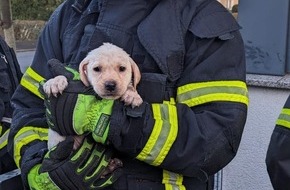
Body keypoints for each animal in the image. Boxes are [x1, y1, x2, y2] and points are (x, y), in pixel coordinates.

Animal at [42, 43, 143, 177]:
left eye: (122, 68)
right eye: (97, 69)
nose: (110, 85)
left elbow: (130, 86)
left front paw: (132, 94)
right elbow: (64, 76)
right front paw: (55, 82)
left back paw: (110, 166)